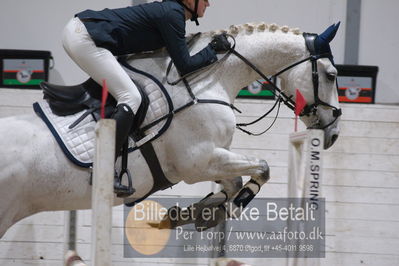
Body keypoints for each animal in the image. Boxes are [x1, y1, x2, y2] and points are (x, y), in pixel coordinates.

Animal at [0, 21, 340, 236]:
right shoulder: (197, 161)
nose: (333, 134)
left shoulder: (213, 157)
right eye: (332, 75)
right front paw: (223, 209)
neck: (209, 79)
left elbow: (234, 182)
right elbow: (263, 169)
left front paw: (200, 213)